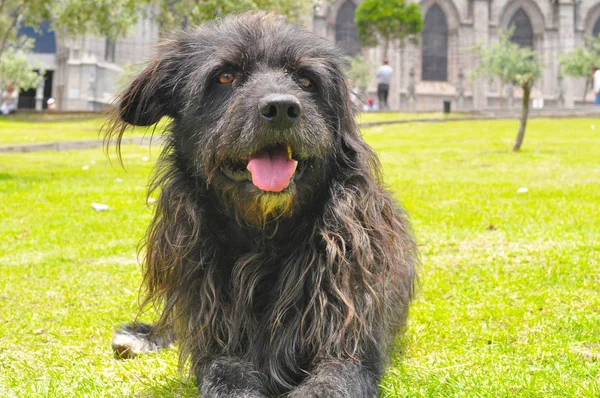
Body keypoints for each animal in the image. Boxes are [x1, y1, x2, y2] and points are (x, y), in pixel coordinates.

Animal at [106, 10, 418, 396]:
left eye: (306, 80)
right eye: (225, 76)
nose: (282, 107)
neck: (265, 237)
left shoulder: (351, 340)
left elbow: (331, 381)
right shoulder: (216, 340)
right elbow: (224, 373)